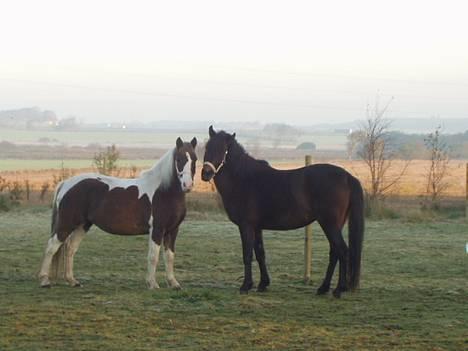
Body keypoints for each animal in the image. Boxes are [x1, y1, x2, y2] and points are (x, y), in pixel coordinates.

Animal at [38, 137, 196, 288]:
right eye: (179, 159)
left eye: (194, 159)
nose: (187, 185)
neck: (164, 191)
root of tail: (66, 183)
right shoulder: (157, 230)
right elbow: (153, 257)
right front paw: (152, 283)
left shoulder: (172, 231)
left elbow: (169, 257)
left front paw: (173, 283)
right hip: (67, 224)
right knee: (52, 246)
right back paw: (45, 280)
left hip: (83, 225)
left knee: (70, 249)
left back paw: (72, 281)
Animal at [199, 126, 364, 296]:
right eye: (207, 148)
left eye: (224, 150)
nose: (206, 173)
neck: (243, 179)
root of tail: (347, 177)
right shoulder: (257, 227)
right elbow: (260, 253)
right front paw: (263, 284)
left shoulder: (246, 226)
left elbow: (247, 255)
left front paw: (246, 286)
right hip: (335, 224)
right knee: (335, 252)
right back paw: (323, 288)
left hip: (329, 223)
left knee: (342, 251)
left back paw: (339, 289)